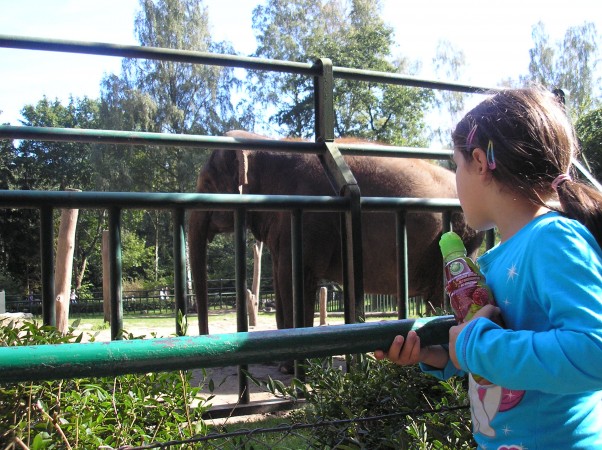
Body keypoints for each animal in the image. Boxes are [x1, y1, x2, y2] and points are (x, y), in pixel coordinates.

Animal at [190, 128, 480, 336]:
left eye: (207, 183)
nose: (202, 336)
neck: (266, 142)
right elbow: (282, 278)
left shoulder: (308, 221)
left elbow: (294, 278)